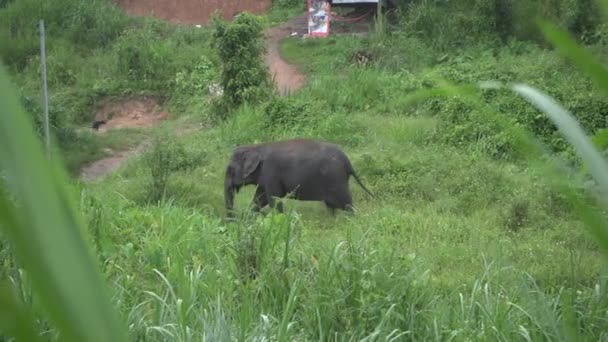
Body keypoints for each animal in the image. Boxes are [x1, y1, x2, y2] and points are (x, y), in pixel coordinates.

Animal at [224, 138, 372, 218]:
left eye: (230, 169)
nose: (233, 219)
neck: (256, 147)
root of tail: (347, 161)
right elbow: (260, 199)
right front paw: (249, 218)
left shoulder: (271, 172)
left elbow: (274, 198)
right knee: (332, 205)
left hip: (336, 179)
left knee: (346, 204)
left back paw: (351, 220)